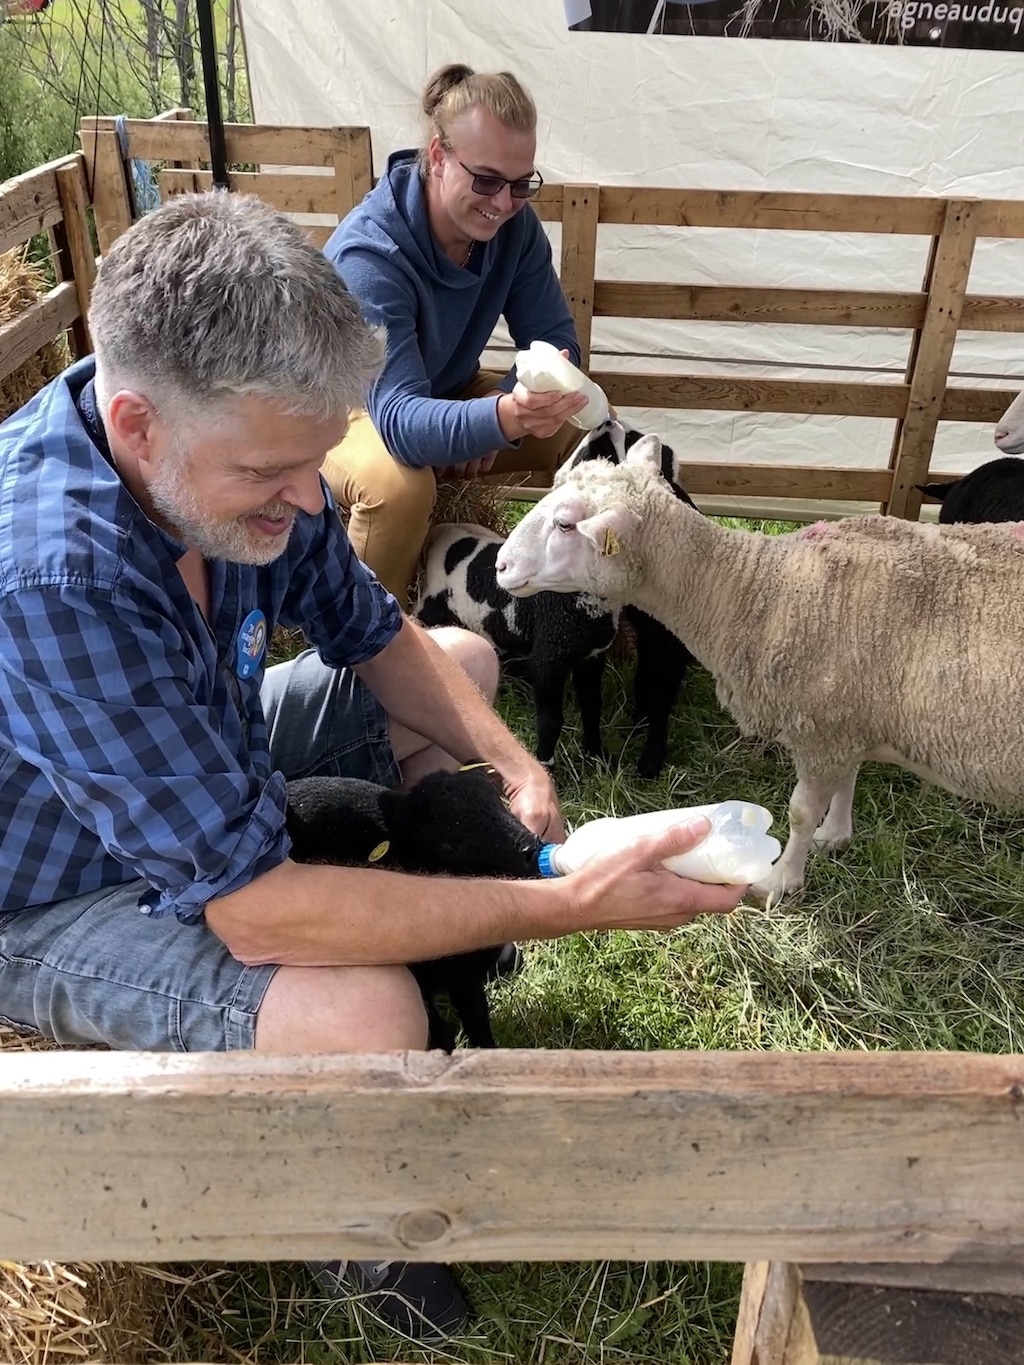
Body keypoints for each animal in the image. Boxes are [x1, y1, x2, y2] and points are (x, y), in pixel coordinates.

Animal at [285, 764, 546, 1048]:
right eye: (450, 846)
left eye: (497, 800)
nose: (531, 847)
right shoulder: (422, 983)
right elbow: (442, 1037)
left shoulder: (466, 980)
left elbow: (478, 1021)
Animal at [494, 436, 1024, 906]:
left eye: (565, 525)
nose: (499, 565)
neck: (755, 587)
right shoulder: (846, 717)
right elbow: (848, 779)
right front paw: (835, 835)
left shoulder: (824, 722)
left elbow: (801, 812)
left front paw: (779, 881)